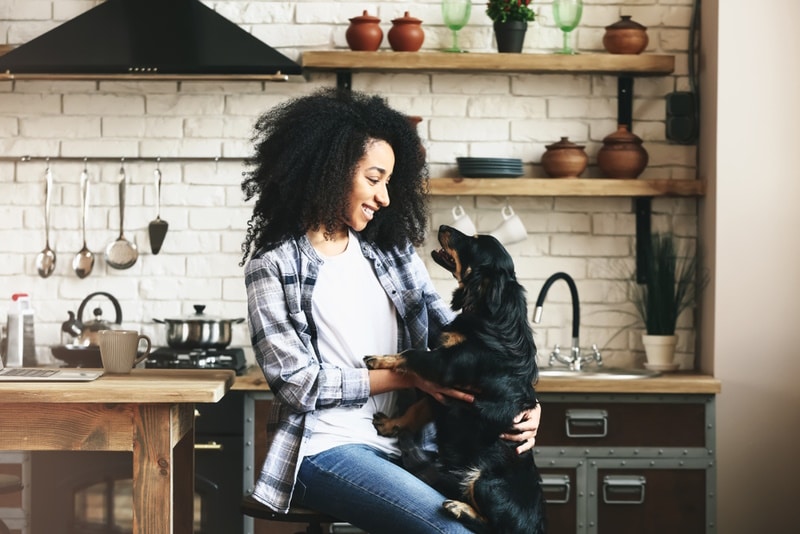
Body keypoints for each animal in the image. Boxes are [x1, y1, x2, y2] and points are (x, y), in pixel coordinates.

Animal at [364, 225, 544, 534]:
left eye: (473, 241)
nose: (443, 227)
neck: (489, 313)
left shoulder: (447, 365)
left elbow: (411, 354)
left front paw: (379, 360)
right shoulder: (444, 394)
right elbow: (416, 409)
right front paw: (389, 425)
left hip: (485, 481)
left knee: (492, 527)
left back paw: (459, 508)